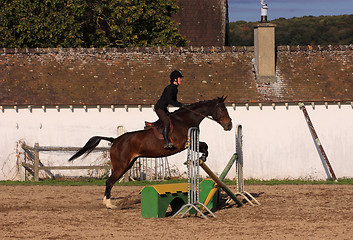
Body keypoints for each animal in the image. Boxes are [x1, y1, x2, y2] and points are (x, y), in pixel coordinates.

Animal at [69, 95, 234, 208]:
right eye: (222, 109)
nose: (229, 126)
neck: (186, 119)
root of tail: (115, 140)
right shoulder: (184, 144)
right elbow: (204, 145)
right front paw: (202, 157)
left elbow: (205, 146)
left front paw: (201, 158)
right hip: (121, 165)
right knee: (109, 182)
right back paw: (109, 204)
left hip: (128, 164)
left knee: (110, 181)